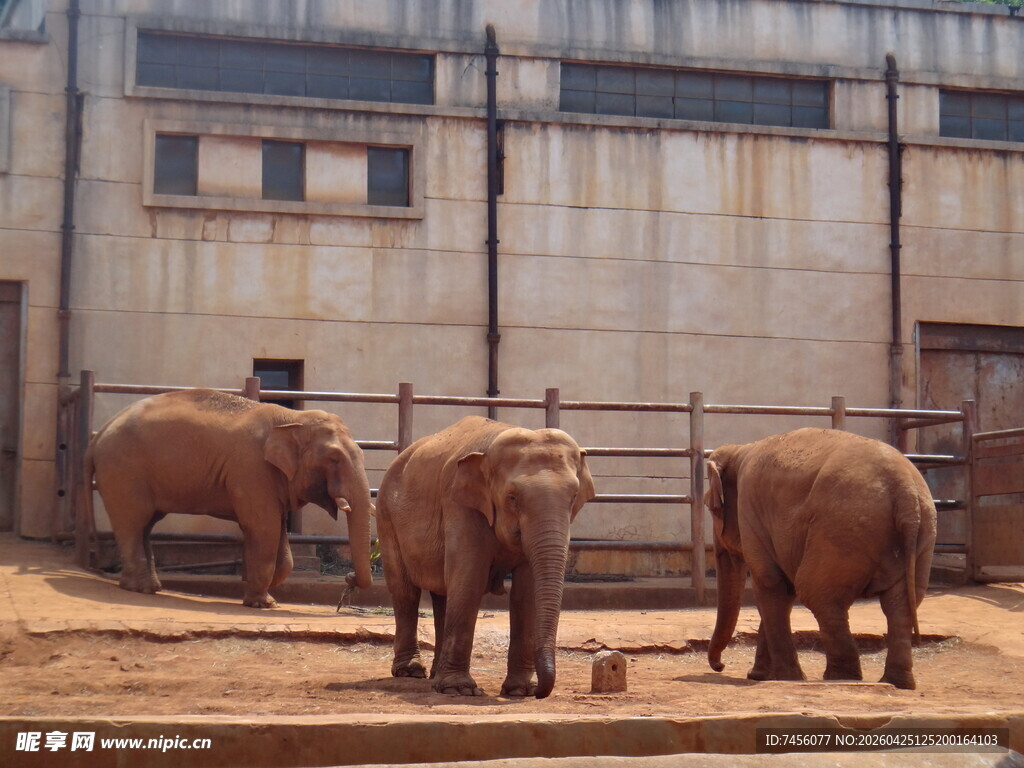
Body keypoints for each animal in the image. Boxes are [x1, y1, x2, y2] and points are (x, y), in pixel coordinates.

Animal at [83, 388, 373, 608]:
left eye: (361, 453)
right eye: (334, 458)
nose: (348, 577)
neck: (292, 418)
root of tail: (98, 435)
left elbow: (278, 532)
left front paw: (267, 593)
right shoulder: (251, 469)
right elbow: (263, 528)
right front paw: (262, 603)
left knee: (145, 524)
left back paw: (151, 587)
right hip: (123, 471)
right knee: (133, 522)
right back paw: (139, 588)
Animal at [375, 415, 596, 699]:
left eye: (573, 497)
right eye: (512, 498)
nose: (540, 692)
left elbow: (526, 592)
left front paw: (520, 690)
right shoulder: (460, 504)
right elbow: (470, 578)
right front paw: (459, 689)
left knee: (442, 595)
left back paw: (434, 675)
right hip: (386, 516)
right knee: (405, 592)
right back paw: (412, 672)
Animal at [704, 427, 936, 690]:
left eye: (712, 509)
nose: (720, 666)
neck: (741, 449)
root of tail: (906, 494)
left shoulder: (750, 510)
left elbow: (770, 582)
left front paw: (783, 678)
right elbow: (783, 589)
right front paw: (760, 675)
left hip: (840, 529)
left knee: (818, 594)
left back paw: (841, 678)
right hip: (922, 533)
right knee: (900, 604)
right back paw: (896, 683)